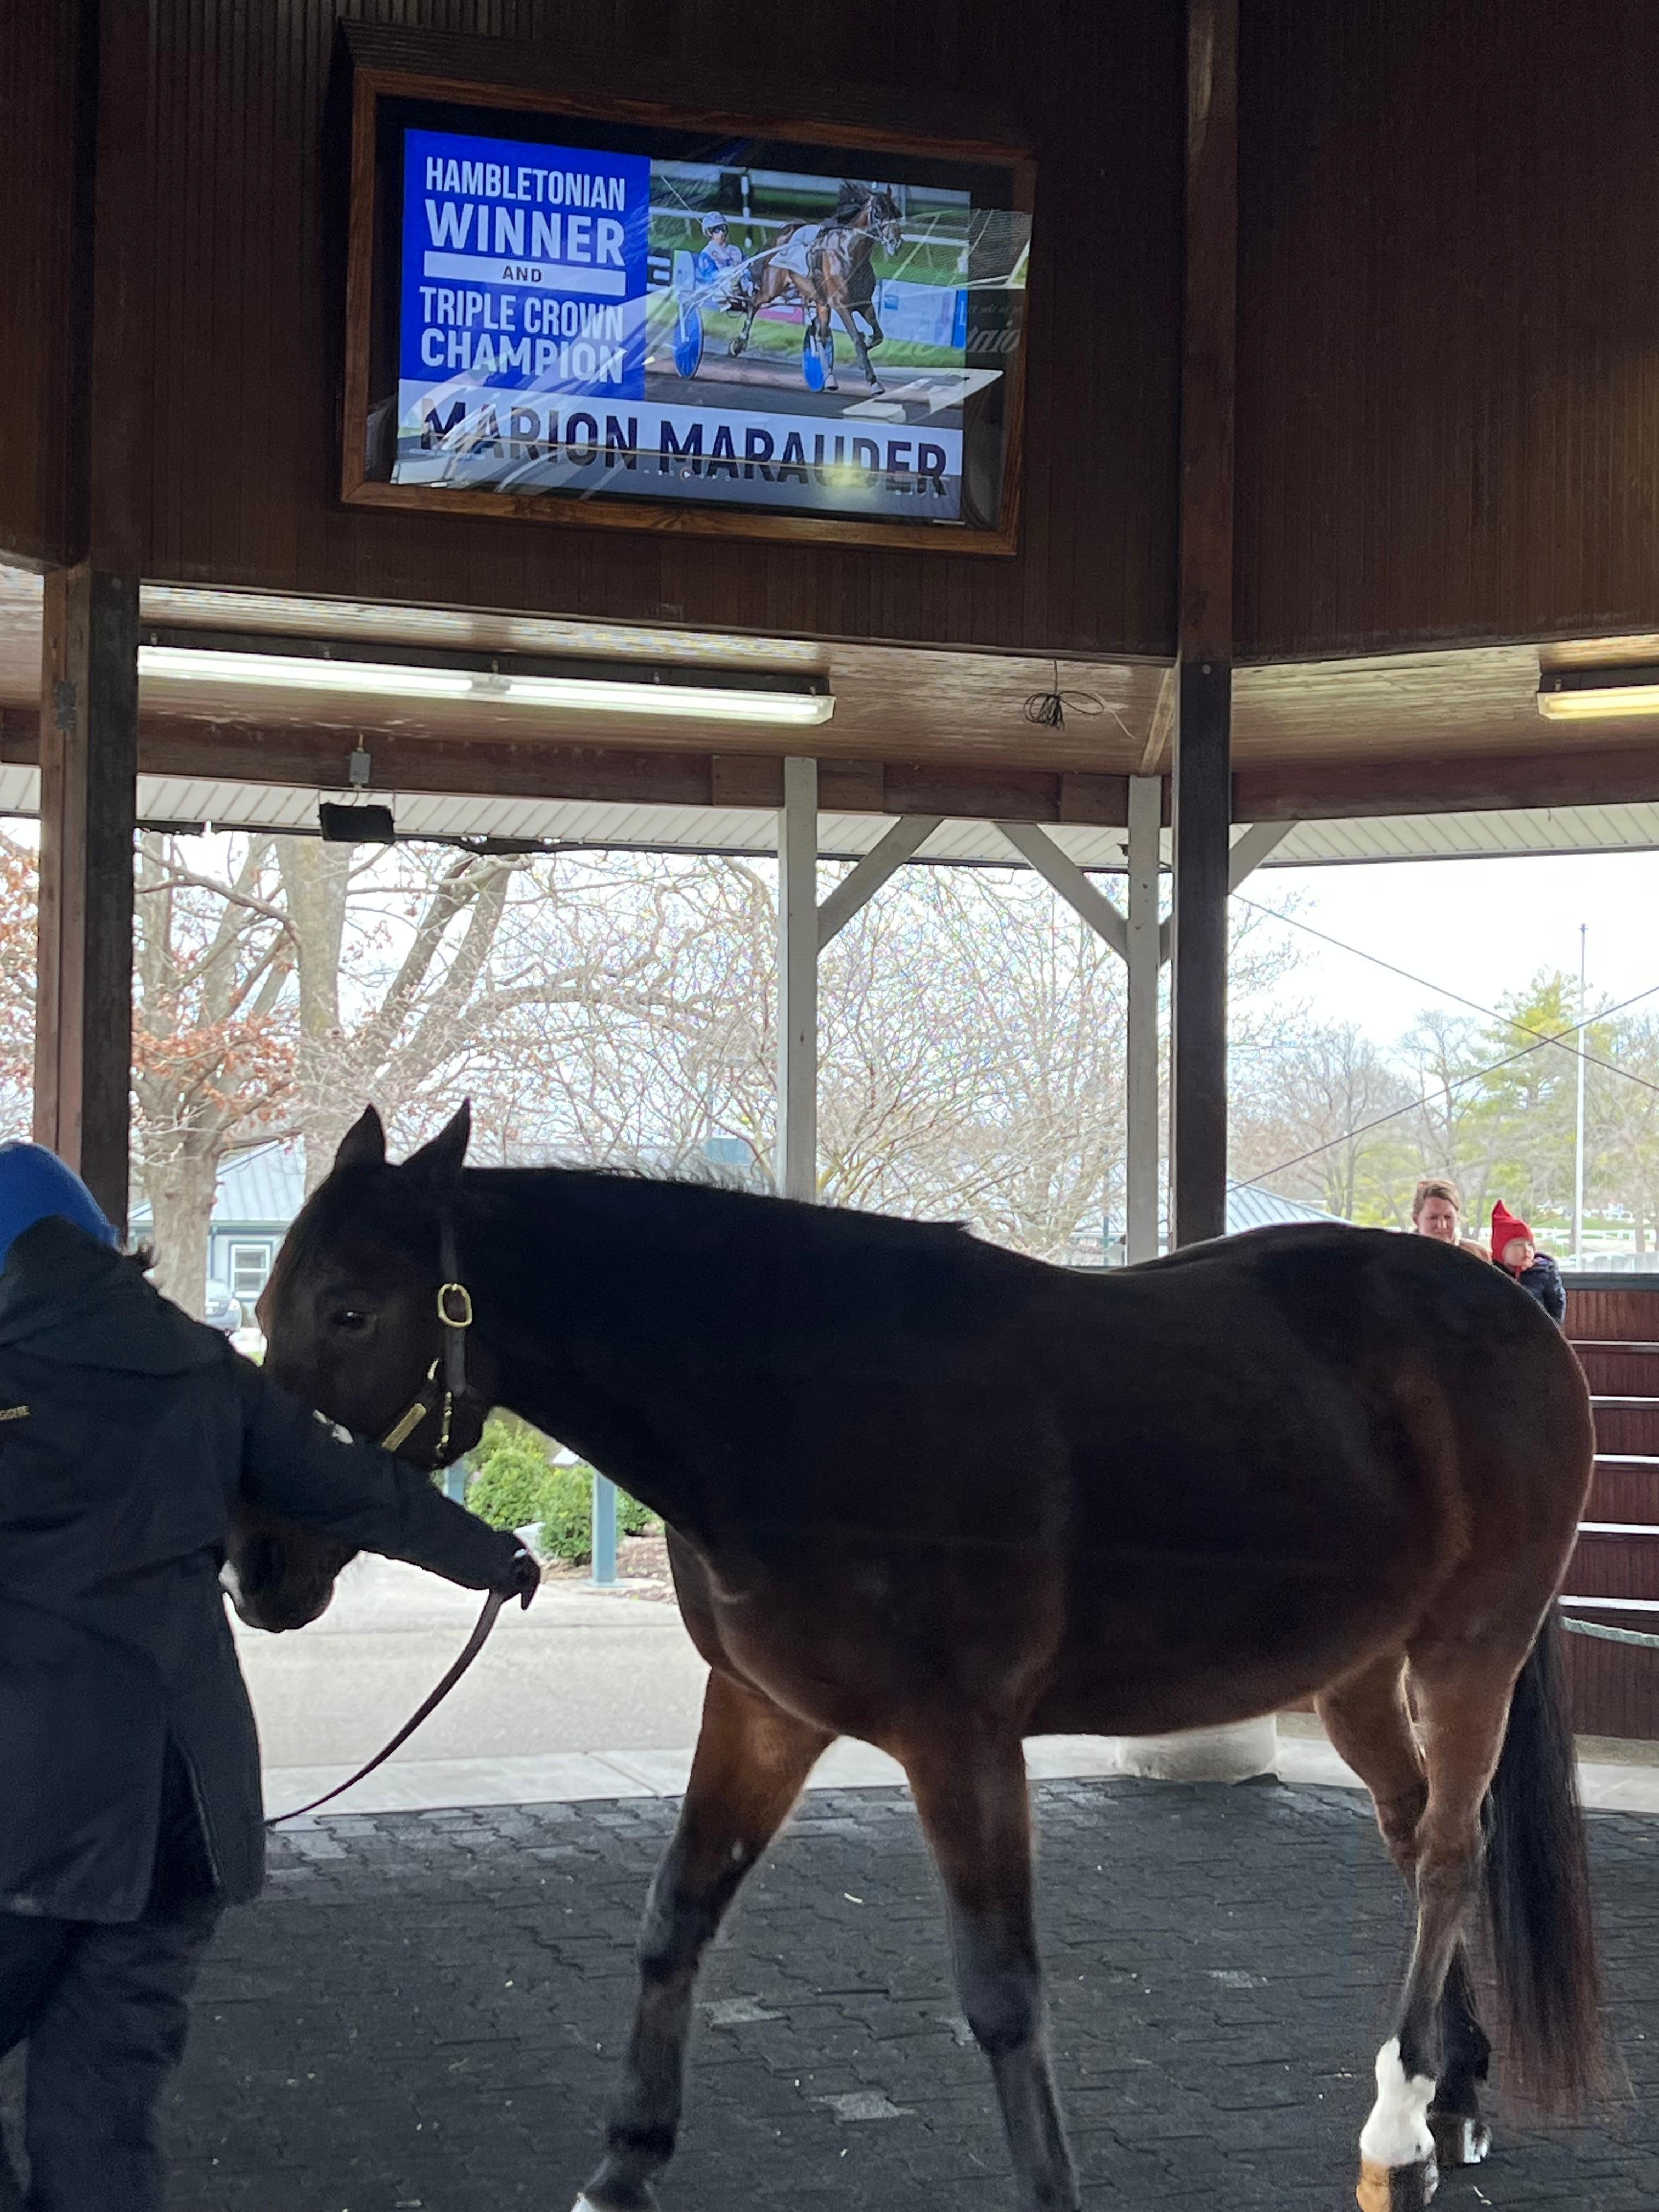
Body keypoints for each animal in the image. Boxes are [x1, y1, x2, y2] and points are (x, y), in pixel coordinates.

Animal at [239, 1104, 1605, 2212]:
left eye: (352, 1310)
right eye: (263, 1306)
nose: (259, 1569)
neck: (798, 1405)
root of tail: (1510, 1310)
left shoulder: (962, 1743)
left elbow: (1002, 1994)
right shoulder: (761, 1711)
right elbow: (676, 1918)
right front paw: (620, 2169)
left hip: (1471, 1646)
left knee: (1447, 1852)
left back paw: (1395, 2131)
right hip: (1362, 1668)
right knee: (1421, 1835)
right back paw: (1449, 2100)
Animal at [733, 182, 902, 393]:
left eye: (897, 212)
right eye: (879, 212)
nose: (896, 243)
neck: (848, 254)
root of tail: (786, 230)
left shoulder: (864, 303)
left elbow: (878, 335)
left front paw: (868, 340)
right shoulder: (841, 306)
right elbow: (856, 339)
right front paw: (873, 381)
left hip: (820, 300)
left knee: (821, 334)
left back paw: (829, 377)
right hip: (773, 287)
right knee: (754, 304)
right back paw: (738, 344)